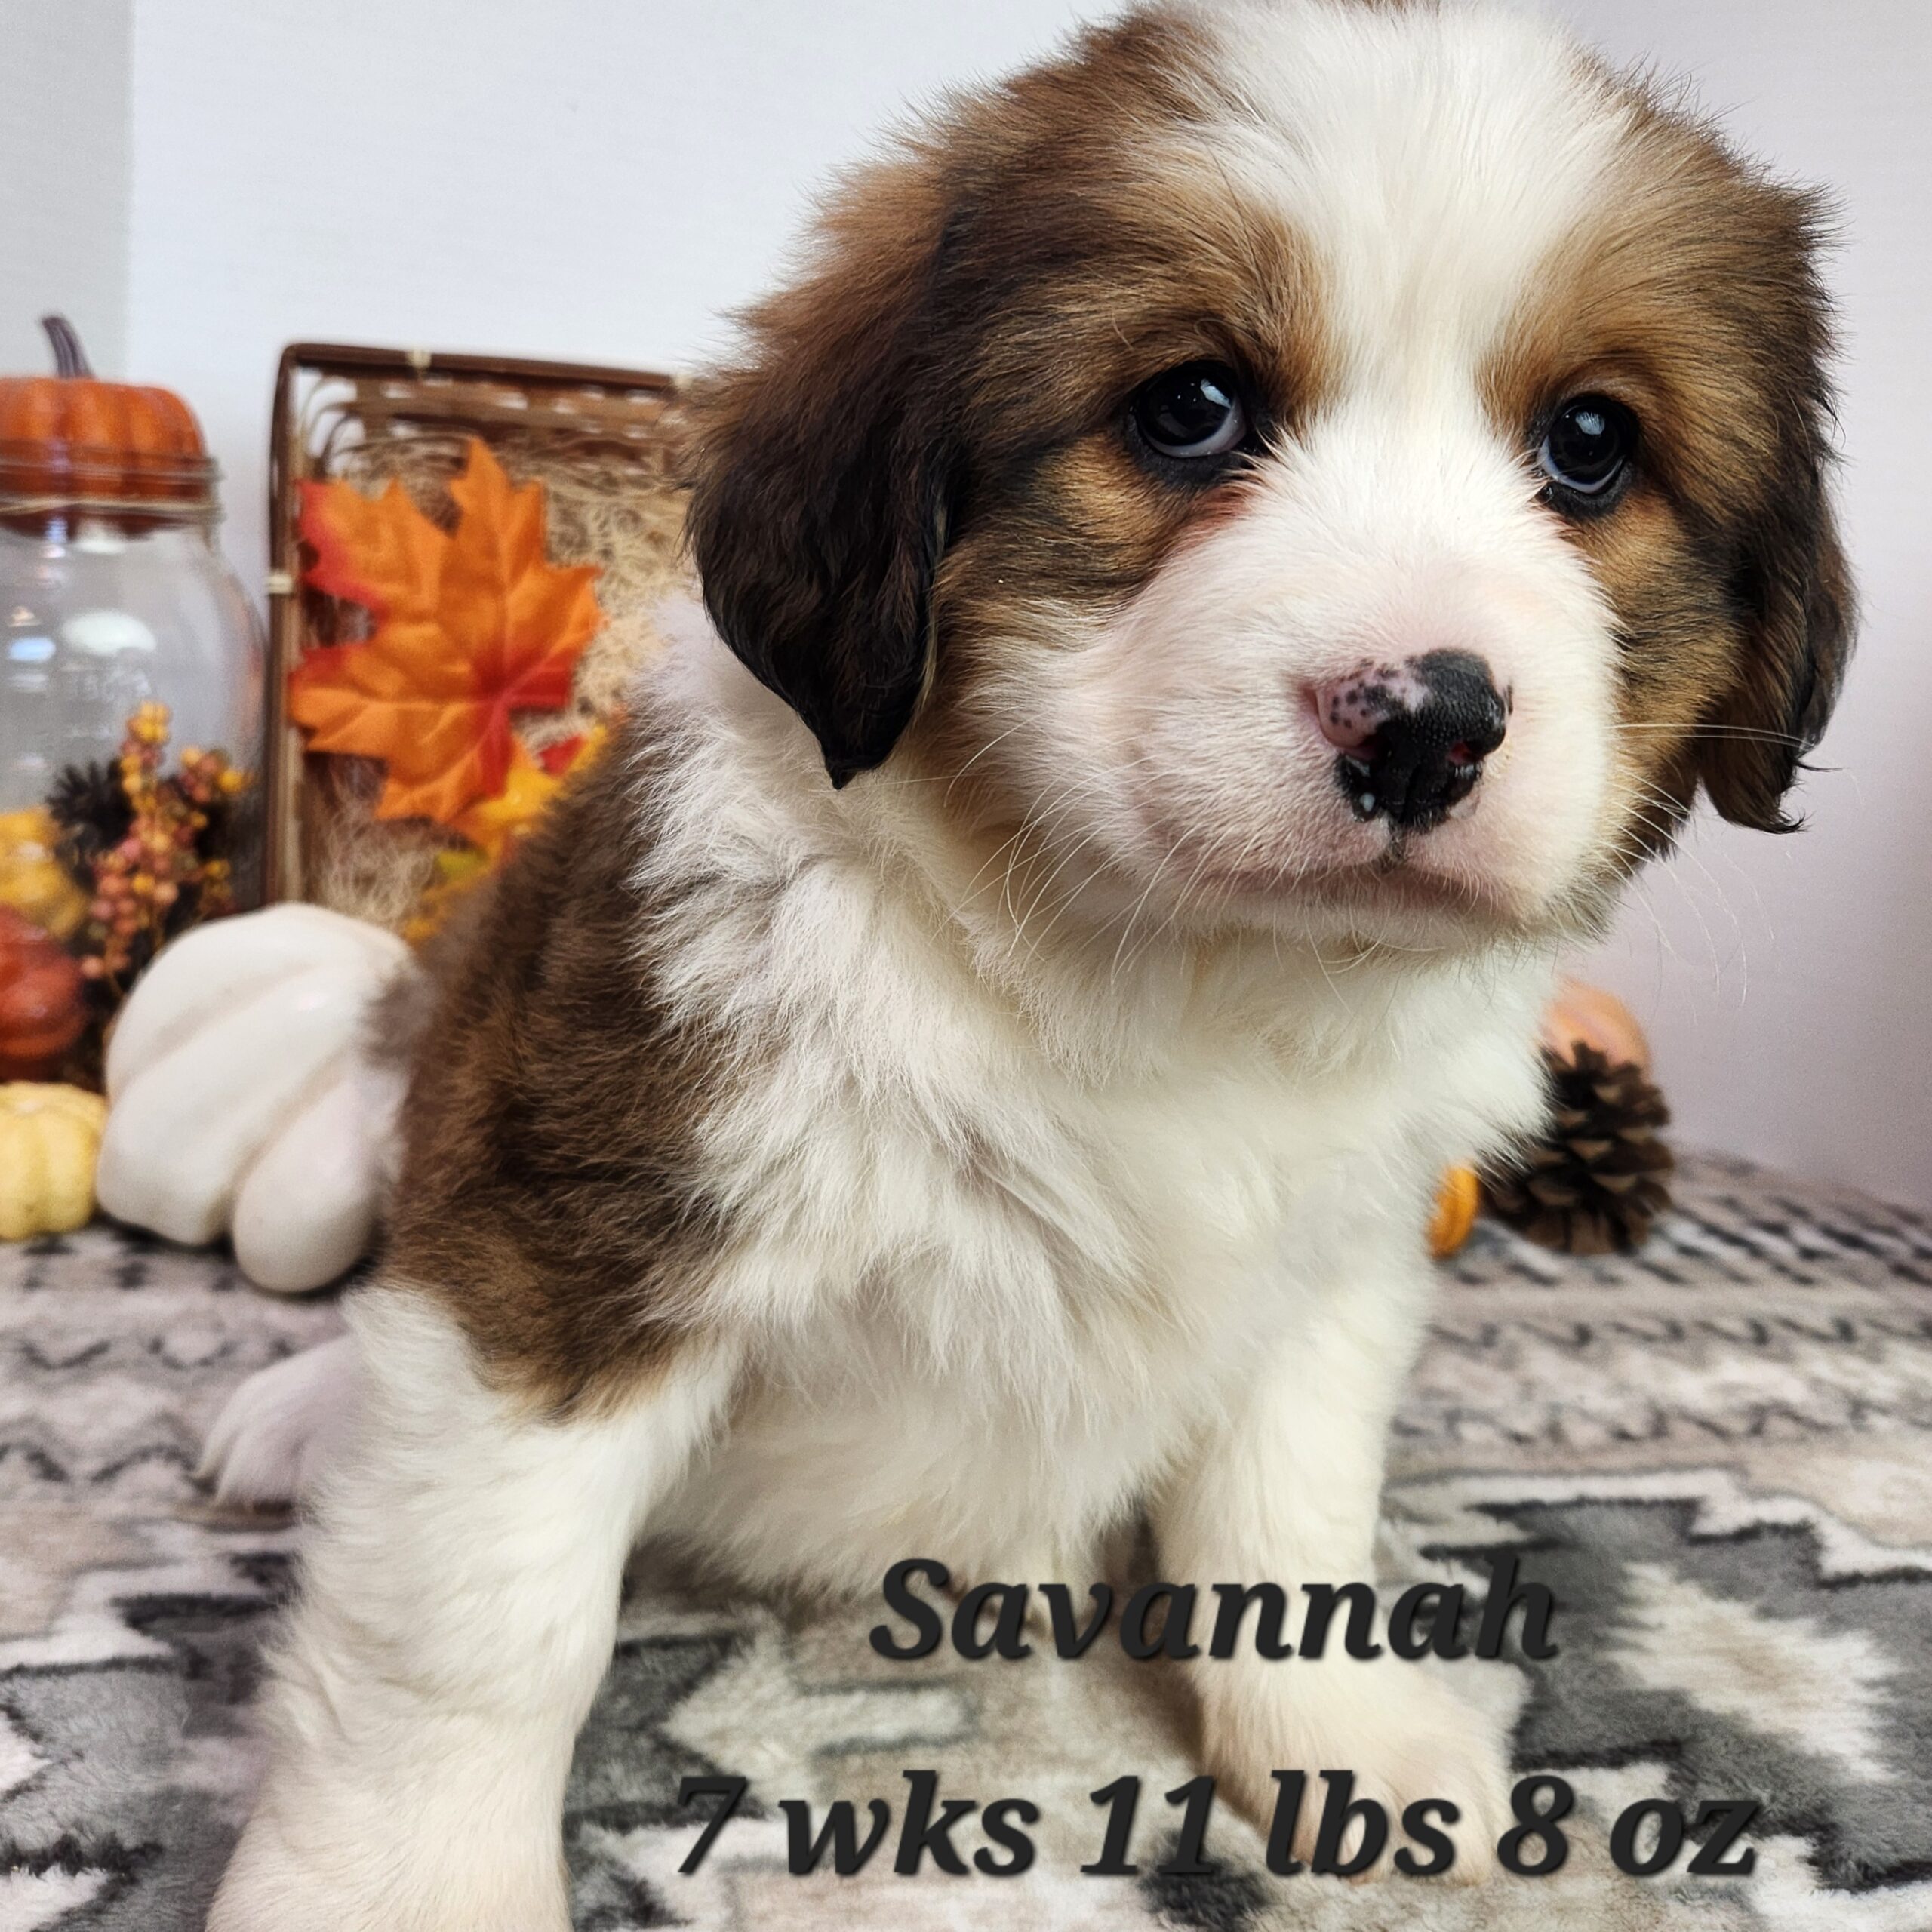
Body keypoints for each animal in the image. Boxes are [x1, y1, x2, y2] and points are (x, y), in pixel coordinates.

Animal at [204, 8, 1847, 1924]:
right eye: (1187, 408)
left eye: (1589, 445)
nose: (1422, 721)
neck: (1168, 974)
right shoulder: (584, 1213)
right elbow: (474, 1621)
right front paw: (392, 1881)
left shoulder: (1339, 1256)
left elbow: (1286, 1509)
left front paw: (1343, 1739)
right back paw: (298, 1409)